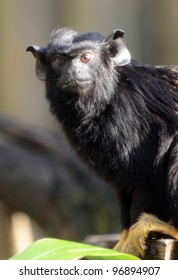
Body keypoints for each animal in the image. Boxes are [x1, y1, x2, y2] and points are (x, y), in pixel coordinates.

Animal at [26, 28, 178, 258]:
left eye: (85, 58)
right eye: (60, 61)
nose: (74, 71)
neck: (108, 96)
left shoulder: (131, 115)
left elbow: (148, 177)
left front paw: (133, 237)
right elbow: (125, 184)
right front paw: (123, 237)